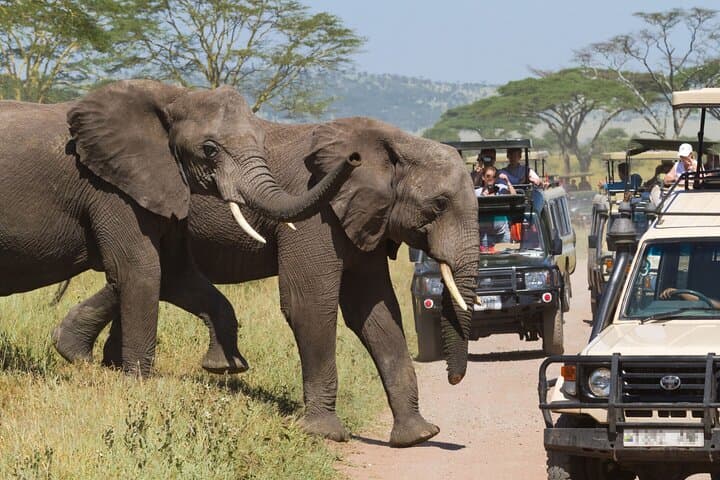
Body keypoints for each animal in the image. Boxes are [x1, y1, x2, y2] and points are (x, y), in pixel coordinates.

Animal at [0, 79, 359, 376]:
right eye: (210, 150)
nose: (354, 157)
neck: (174, 96)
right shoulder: (112, 188)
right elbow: (141, 268)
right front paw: (139, 383)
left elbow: (176, 272)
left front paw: (224, 368)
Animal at [53, 116, 479, 447]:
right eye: (439, 205)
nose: (454, 378)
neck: (394, 140)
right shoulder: (317, 216)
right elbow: (310, 303)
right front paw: (324, 434)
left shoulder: (367, 218)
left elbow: (375, 313)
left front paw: (418, 436)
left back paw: (85, 355)